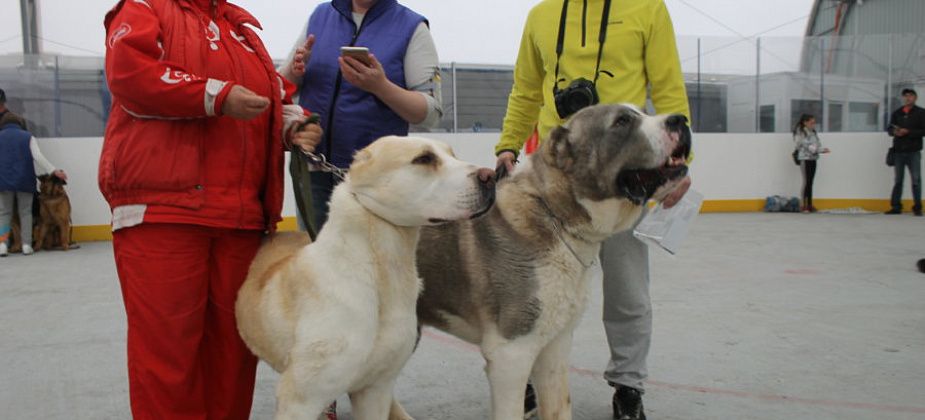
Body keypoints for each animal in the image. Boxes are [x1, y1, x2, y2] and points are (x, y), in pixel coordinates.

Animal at [235, 135, 494, 420]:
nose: (490, 176)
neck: (377, 271)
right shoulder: (300, 400)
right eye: (424, 159)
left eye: (452, 154)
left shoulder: (375, 389)